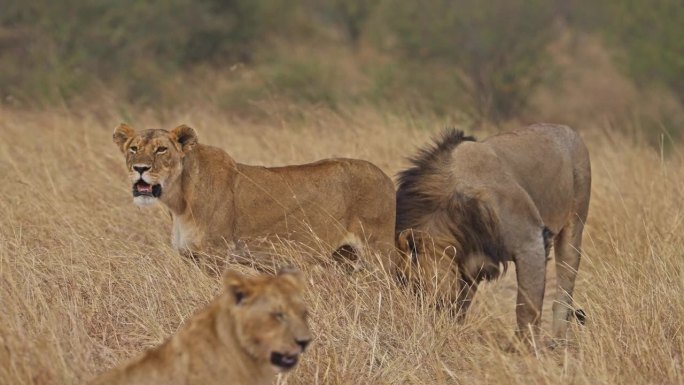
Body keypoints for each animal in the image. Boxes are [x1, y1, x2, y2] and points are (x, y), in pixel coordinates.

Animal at [112, 123, 396, 270]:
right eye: (134, 148)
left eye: (161, 150)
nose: (140, 168)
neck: (179, 200)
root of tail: (385, 177)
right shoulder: (190, 256)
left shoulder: (216, 254)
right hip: (343, 257)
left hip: (378, 252)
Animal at [398, 124, 592, 344]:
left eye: (415, 284)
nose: (417, 314)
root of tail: (566, 128)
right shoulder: (469, 264)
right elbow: (460, 306)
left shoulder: (530, 242)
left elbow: (527, 308)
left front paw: (523, 346)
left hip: (575, 222)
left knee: (564, 286)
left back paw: (558, 341)